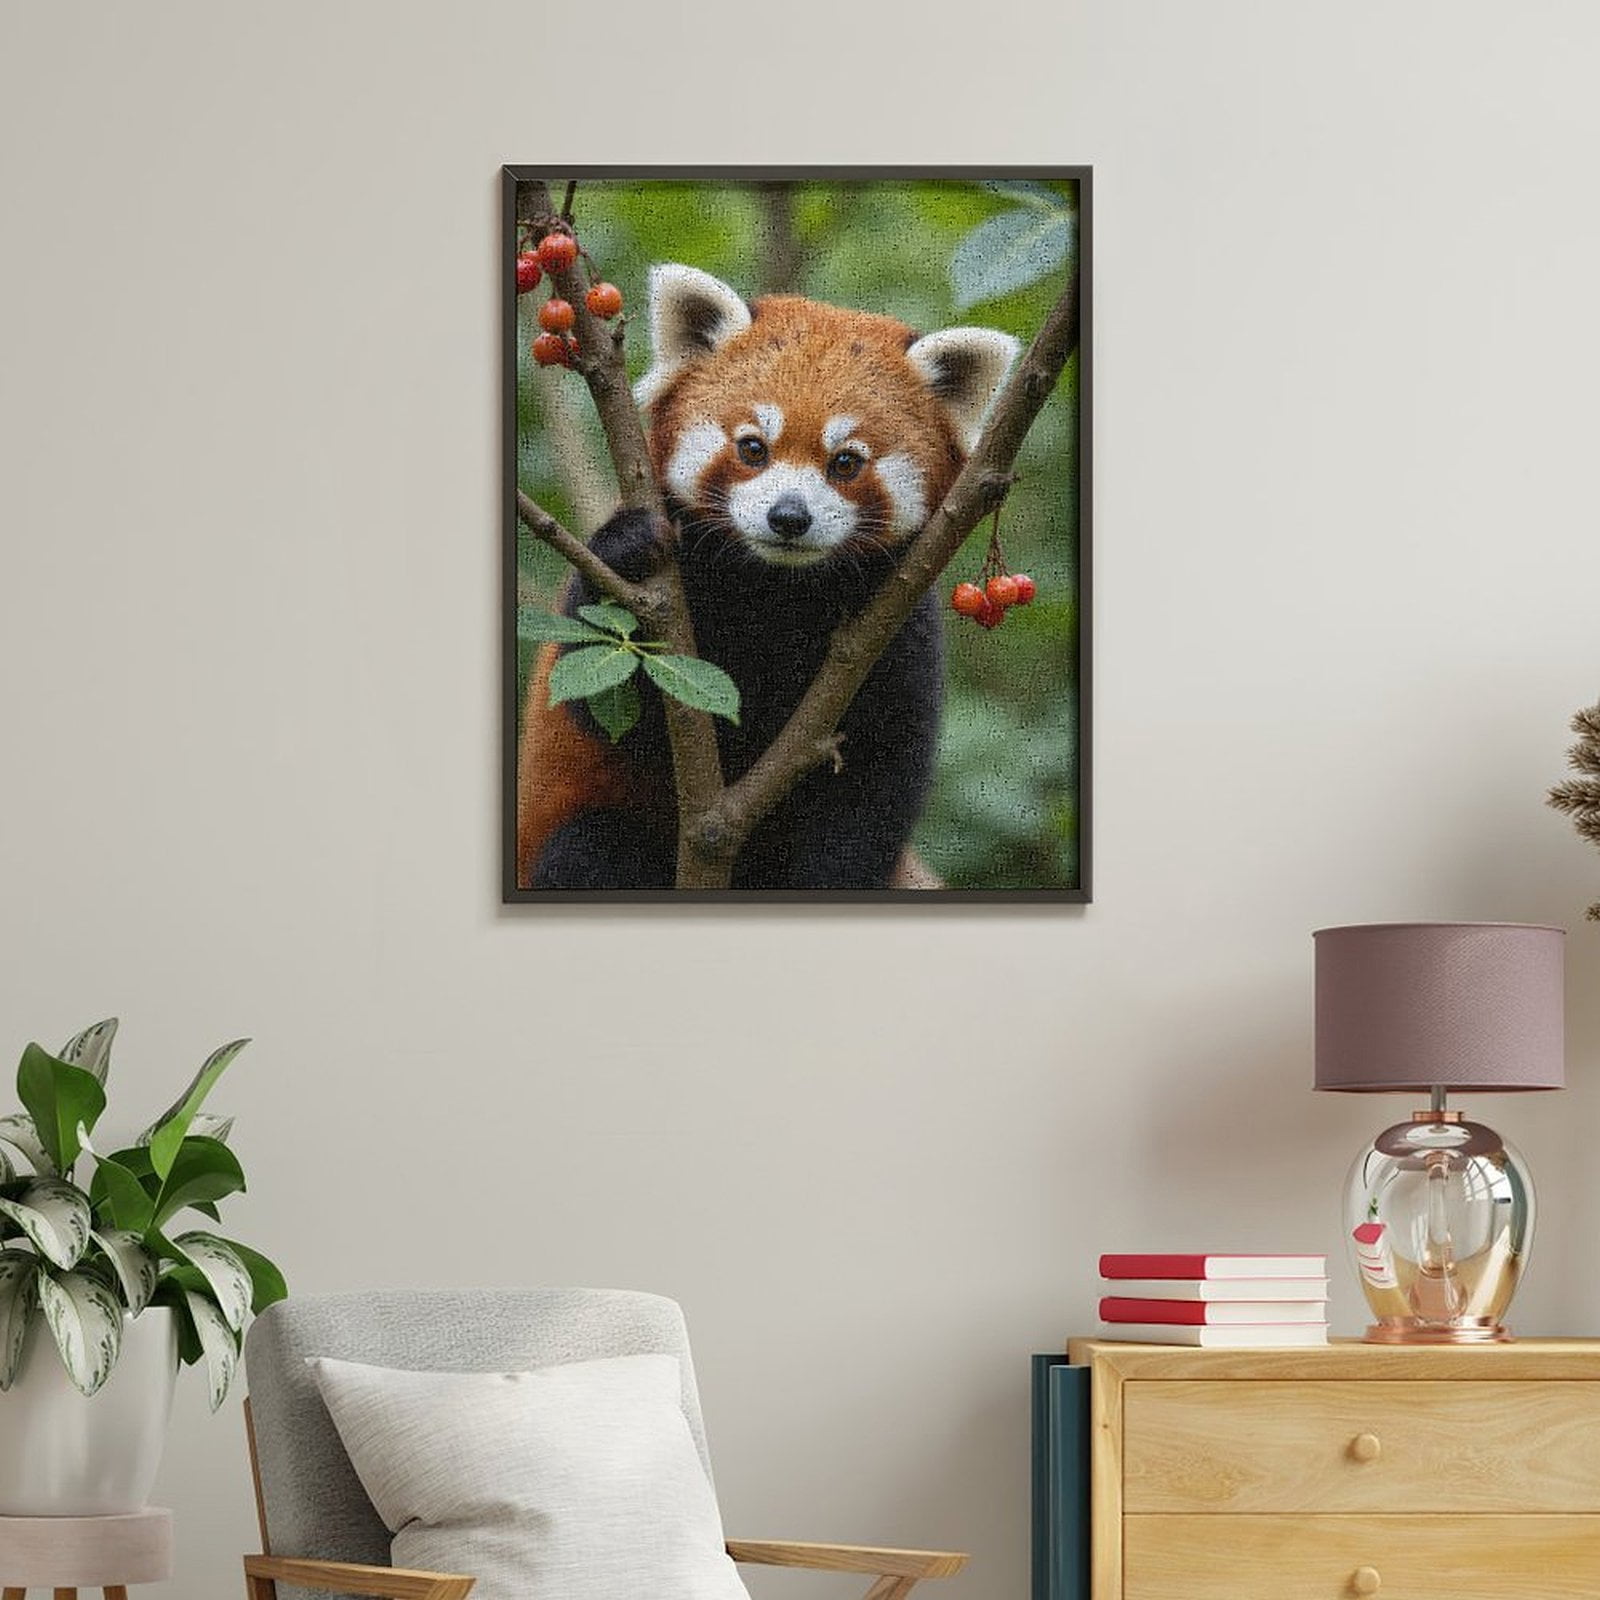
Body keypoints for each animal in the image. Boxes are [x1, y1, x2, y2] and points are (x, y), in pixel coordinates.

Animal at [517, 263, 1019, 890]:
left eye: (846, 462)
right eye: (753, 447)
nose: (788, 516)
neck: (779, 591)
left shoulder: (896, 630)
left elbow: (873, 788)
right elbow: (609, 703)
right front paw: (627, 546)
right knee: (588, 849)